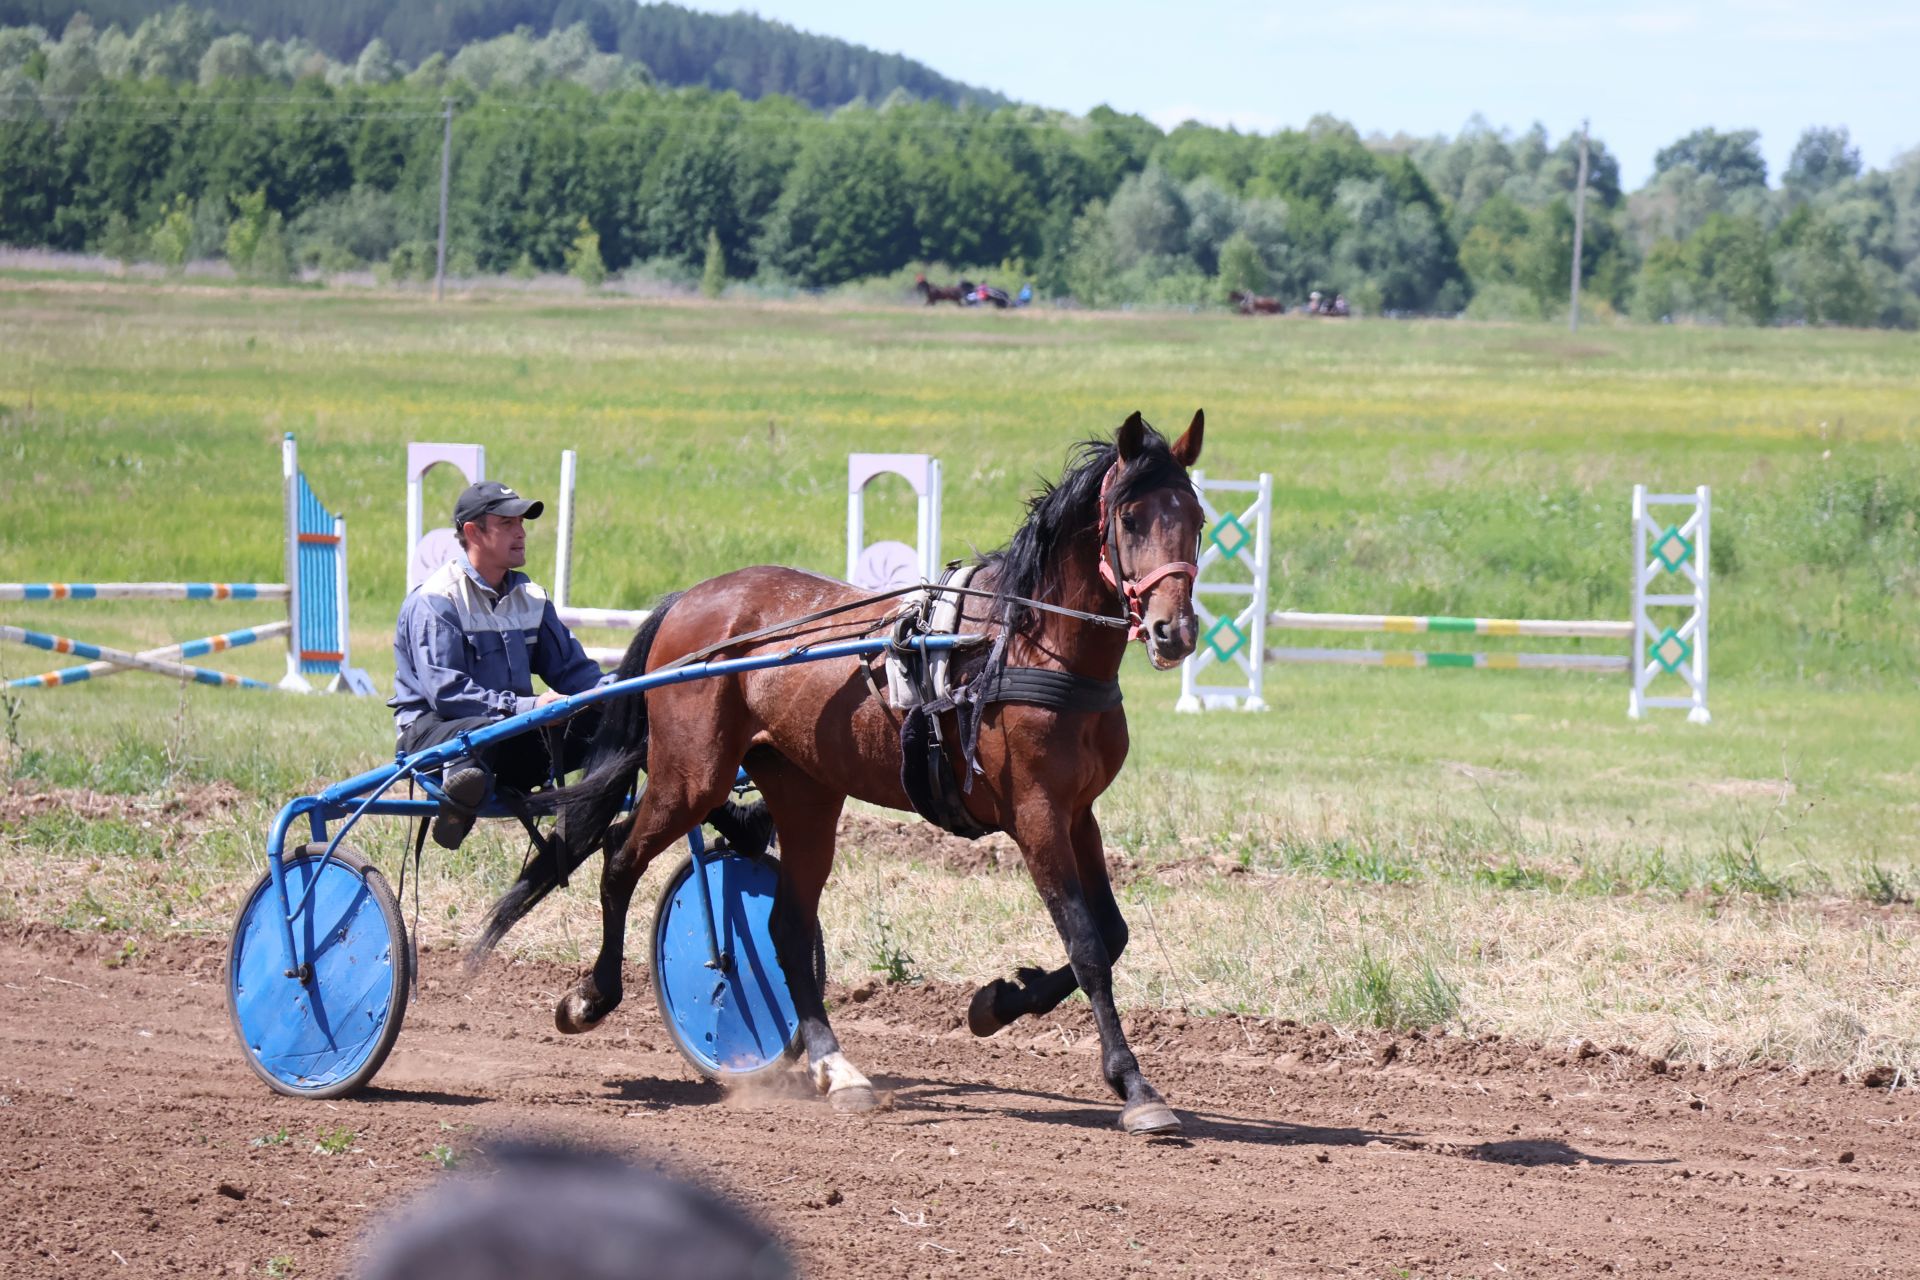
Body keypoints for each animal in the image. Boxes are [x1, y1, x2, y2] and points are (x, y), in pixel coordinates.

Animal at [474, 410, 1205, 1128]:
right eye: (1131, 518)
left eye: (1197, 517)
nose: (1174, 631)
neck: (1022, 642)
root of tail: (691, 599)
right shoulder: (1035, 814)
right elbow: (1087, 944)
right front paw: (1133, 1084)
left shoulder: (1078, 812)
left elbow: (1112, 932)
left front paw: (997, 1002)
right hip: (691, 775)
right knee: (621, 859)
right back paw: (590, 998)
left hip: (805, 792)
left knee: (785, 928)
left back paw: (835, 1065)